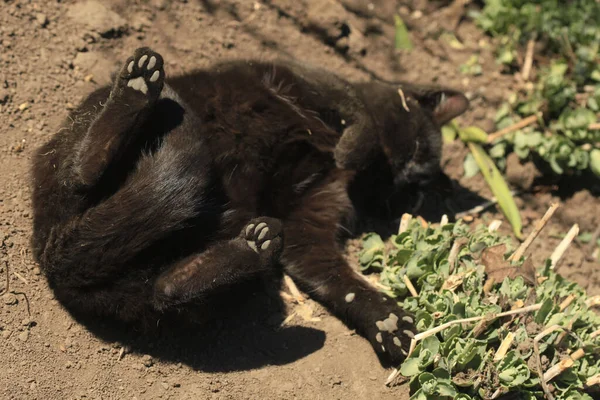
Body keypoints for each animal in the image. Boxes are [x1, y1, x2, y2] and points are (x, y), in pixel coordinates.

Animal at [30, 47, 468, 366]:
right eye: (415, 149)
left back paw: (251, 246)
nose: (400, 179)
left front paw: (388, 322)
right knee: (80, 174)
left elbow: (343, 286)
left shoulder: (307, 230)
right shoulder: (296, 75)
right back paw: (136, 89)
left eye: (407, 194)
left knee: (165, 289)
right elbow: (361, 118)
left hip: (190, 291)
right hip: (92, 126)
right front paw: (352, 148)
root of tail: (52, 255)